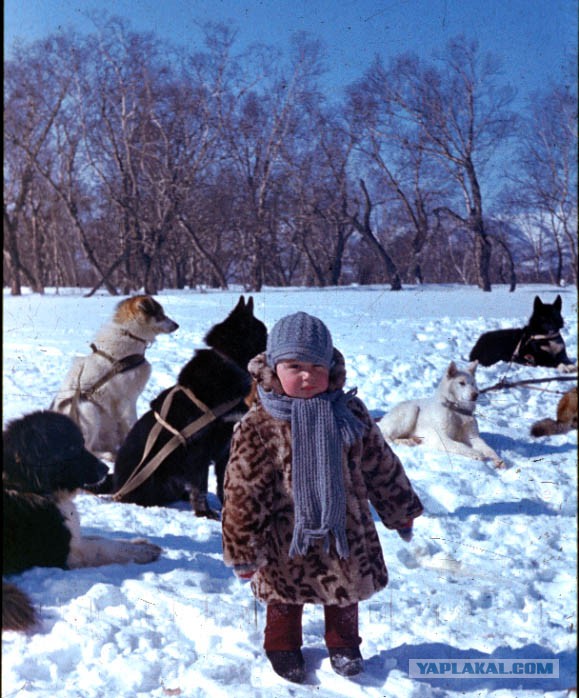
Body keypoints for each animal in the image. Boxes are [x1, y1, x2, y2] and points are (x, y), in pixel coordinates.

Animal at [2, 408, 161, 632]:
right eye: (72, 447)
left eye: (83, 443)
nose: (105, 469)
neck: (25, 484)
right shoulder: (66, 552)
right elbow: (105, 548)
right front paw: (145, 551)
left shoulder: (74, 538)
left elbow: (101, 538)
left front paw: (139, 543)